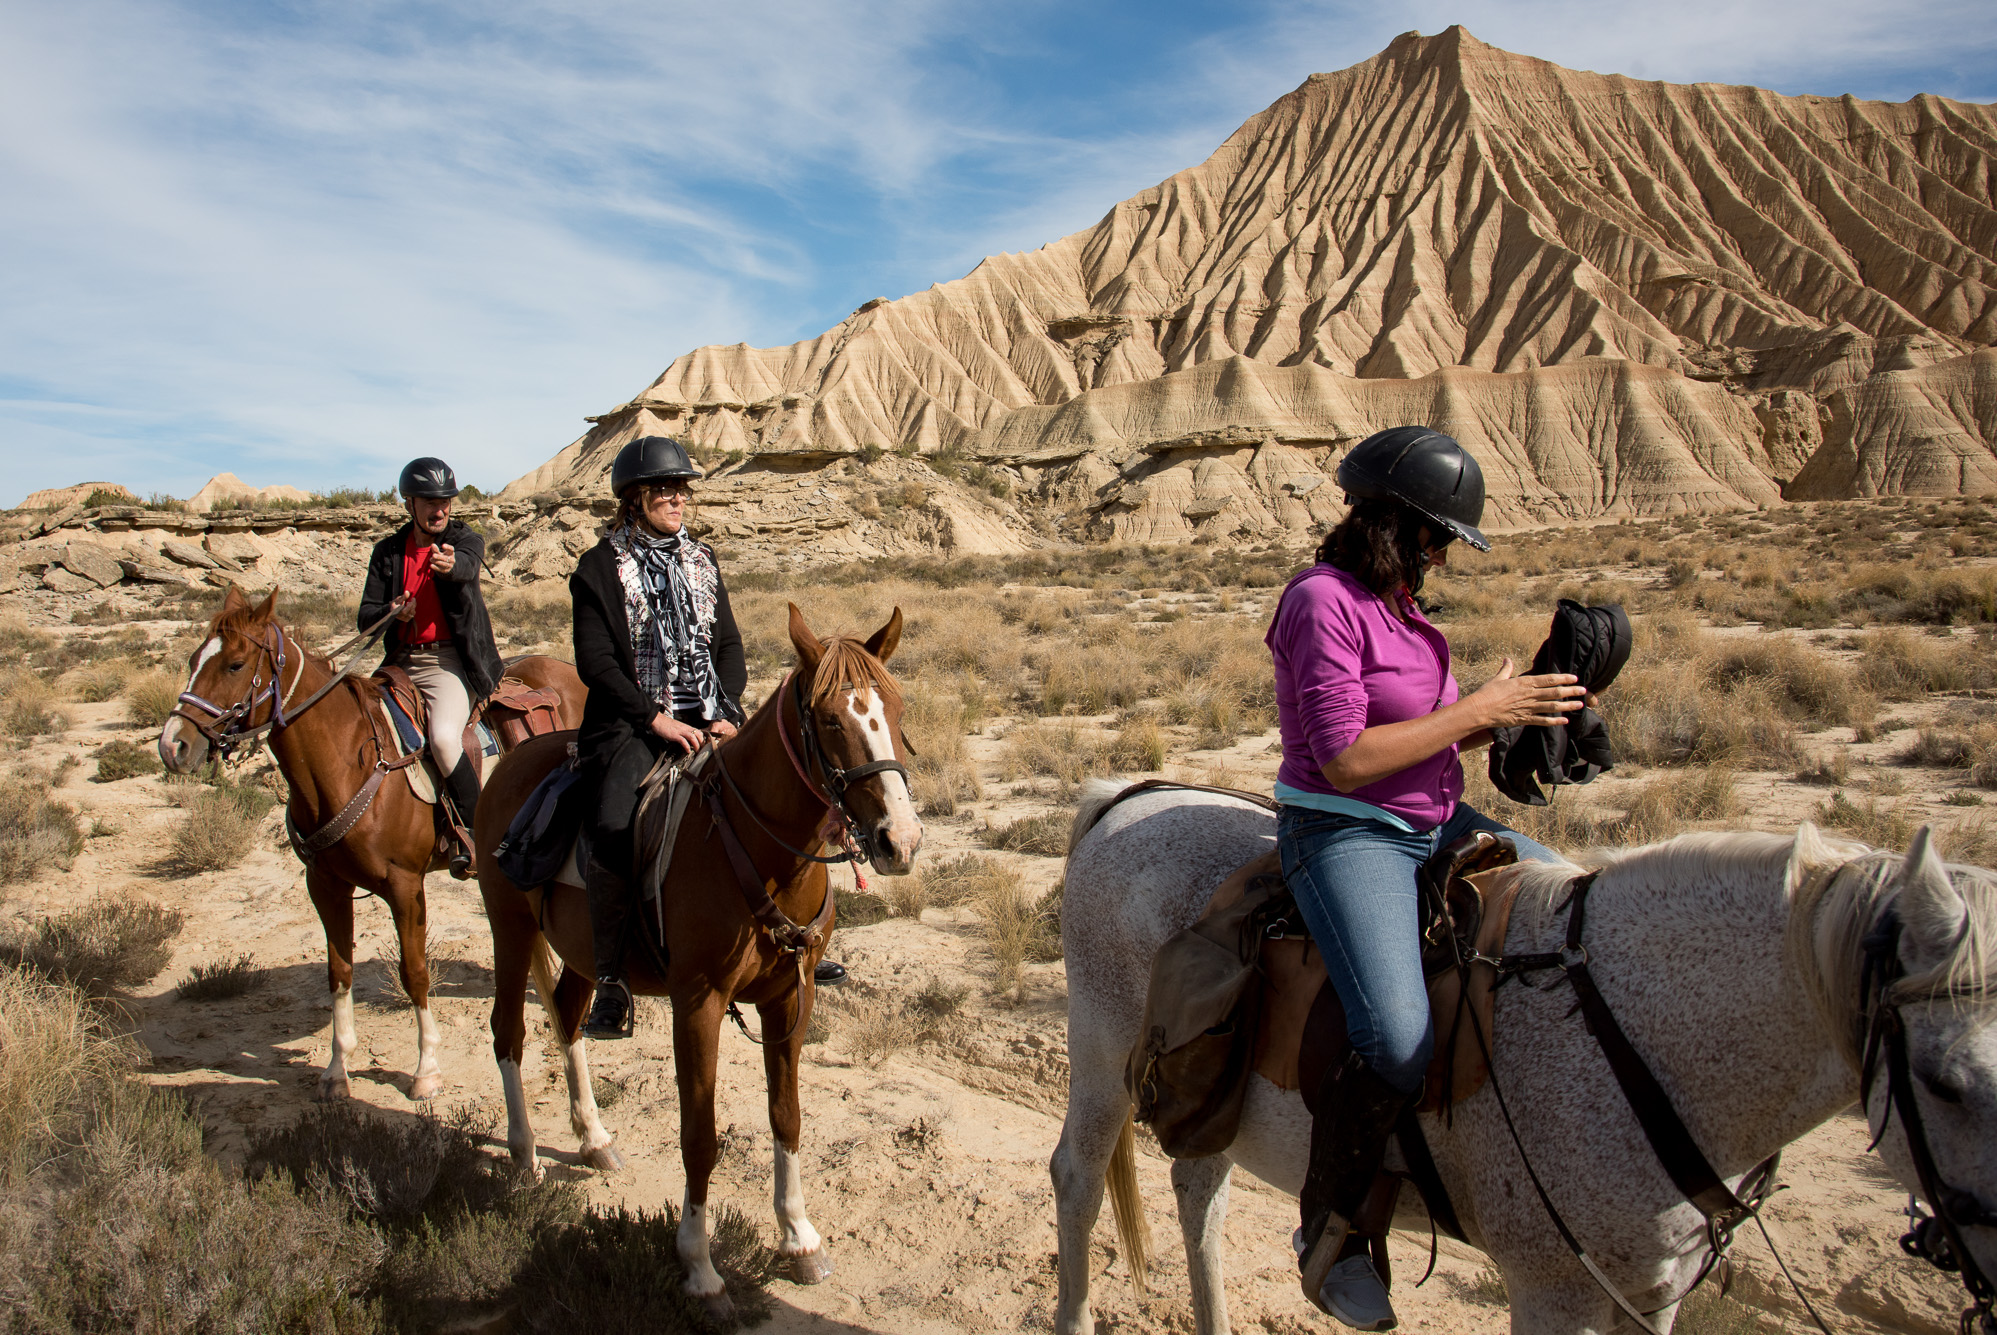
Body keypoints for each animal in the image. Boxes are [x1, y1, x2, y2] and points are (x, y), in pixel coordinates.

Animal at [158, 586, 583, 1101]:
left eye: (235, 664)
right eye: (194, 659)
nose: (173, 746)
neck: (347, 762)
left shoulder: (405, 887)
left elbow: (414, 972)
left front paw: (426, 1071)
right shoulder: (324, 886)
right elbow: (338, 972)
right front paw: (337, 1070)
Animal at [479, 606, 922, 1325]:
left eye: (897, 706)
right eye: (830, 720)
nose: (899, 842)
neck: (758, 849)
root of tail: (511, 760)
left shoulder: (789, 997)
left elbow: (787, 1115)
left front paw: (800, 1239)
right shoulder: (698, 1002)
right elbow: (699, 1136)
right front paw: (701, 1269)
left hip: (580, 951)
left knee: (569, 1018)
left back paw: (593, 1137)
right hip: (510, 930)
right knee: (509, 1031)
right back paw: (523, 1156)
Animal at [1046, 782, 1997, 1333]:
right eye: (1948, 1084)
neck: (1638, 1039)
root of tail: (1120, 800)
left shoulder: (1652, 1293)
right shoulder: (1553, 1290)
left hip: (1218, 1096)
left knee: (1198, 1189)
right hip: (1099, 1055)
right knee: (1078, 1177)